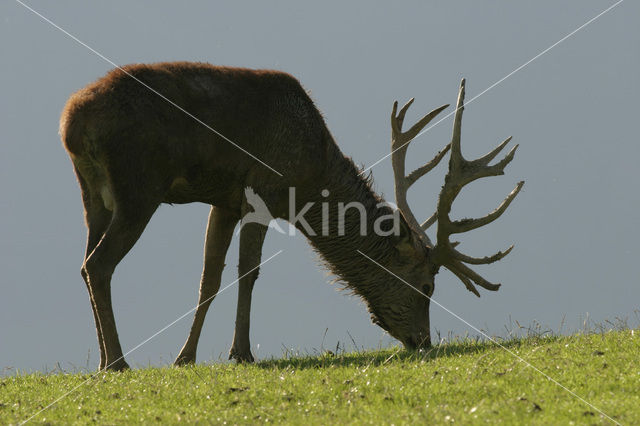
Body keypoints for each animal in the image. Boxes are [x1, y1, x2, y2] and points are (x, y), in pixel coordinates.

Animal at [58, 61, 520, 372]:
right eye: (427, 287)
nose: (423, 340)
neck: (311, 180)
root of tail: (70, 122)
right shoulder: (264, 190)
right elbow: (248, 272)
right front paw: (242, 352)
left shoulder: (225, 201)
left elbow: (209, 277)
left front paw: (185, 357)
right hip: (138, 187)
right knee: (99, 264)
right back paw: (117, 362)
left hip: (92, 196)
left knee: (84, 264)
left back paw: (103, 359)